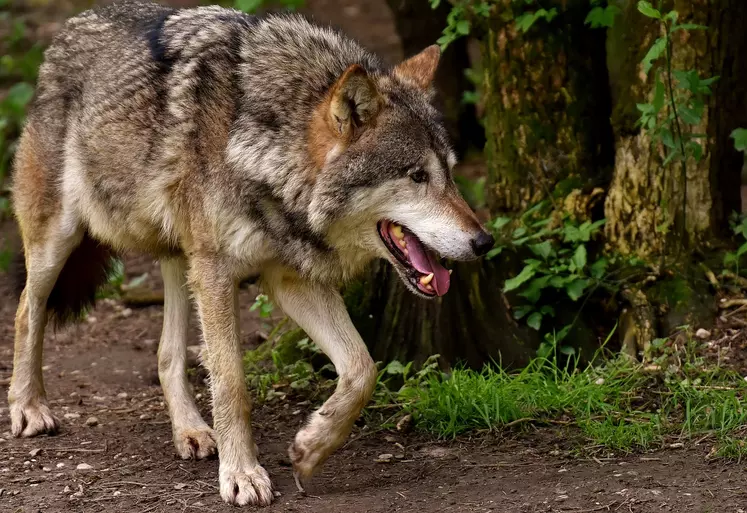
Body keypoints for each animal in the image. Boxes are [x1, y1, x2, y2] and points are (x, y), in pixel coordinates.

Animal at [7, 0, 496, 504]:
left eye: (451, 174)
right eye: (417, 176)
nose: (484, 242)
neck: (267, 151)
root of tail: (70, 27)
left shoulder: (290, 279)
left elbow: (363, 369)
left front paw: (310, 449)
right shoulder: (219, 273)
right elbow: (231, 383)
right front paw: (241, 474)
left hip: (181, 259)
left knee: (166, 353)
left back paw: (191, 431)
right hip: (60, 241)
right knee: (27, 310)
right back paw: (28, 408)